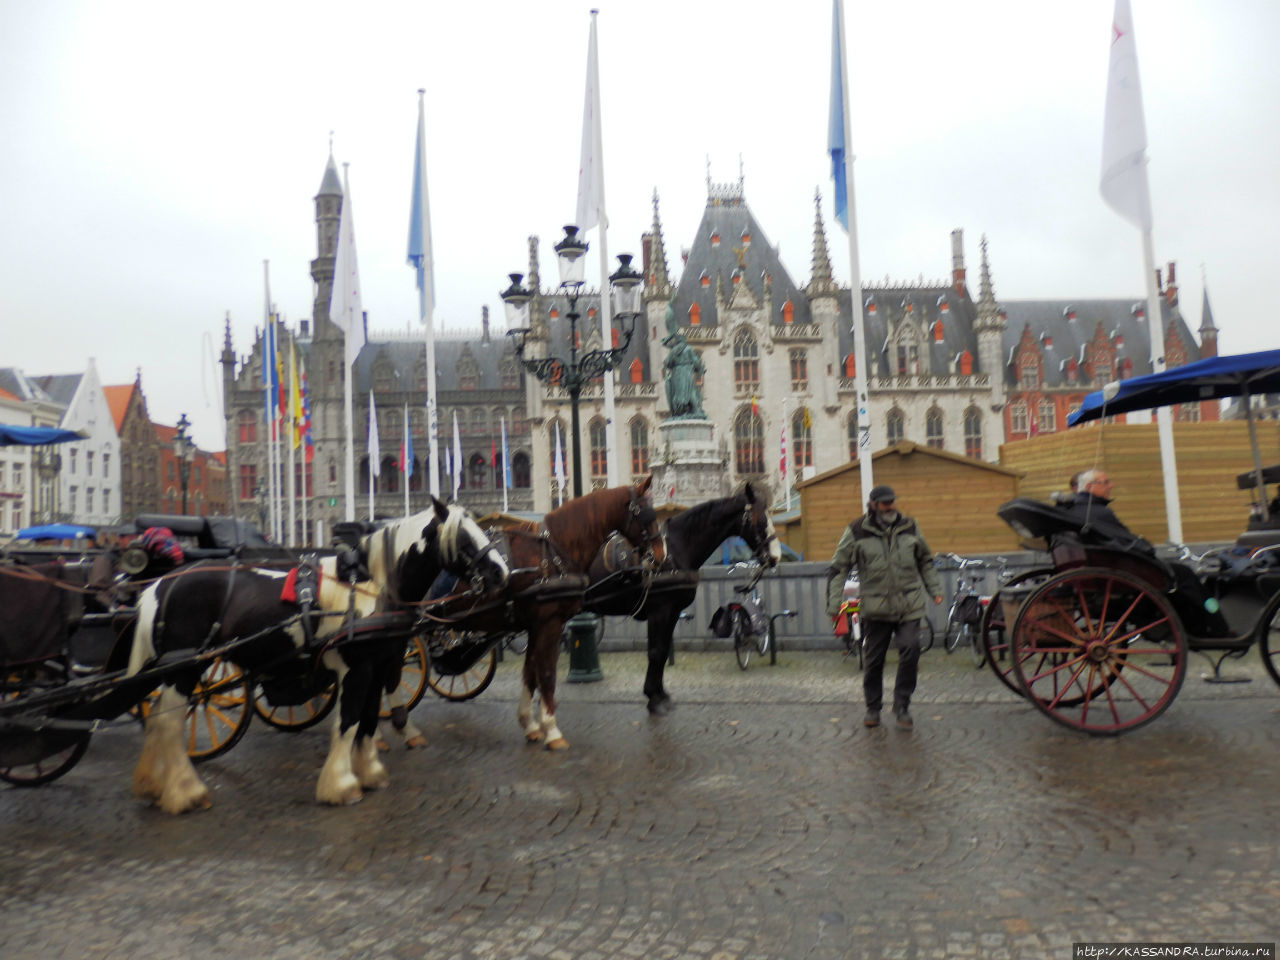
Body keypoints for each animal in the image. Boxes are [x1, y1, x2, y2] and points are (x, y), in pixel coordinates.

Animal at [126, 499, 509, 814]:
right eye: (463, 537)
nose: (501, 572)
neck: (372, 588)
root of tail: (162, 583)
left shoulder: (378, 665)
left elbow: (369, 719)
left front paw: (370, 772)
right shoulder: (356, 668)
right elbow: (348, 721)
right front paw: (341, 785)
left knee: (158, 715)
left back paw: (152, 784)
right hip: (187, 668)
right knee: (170, 722)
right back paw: (186, 792)